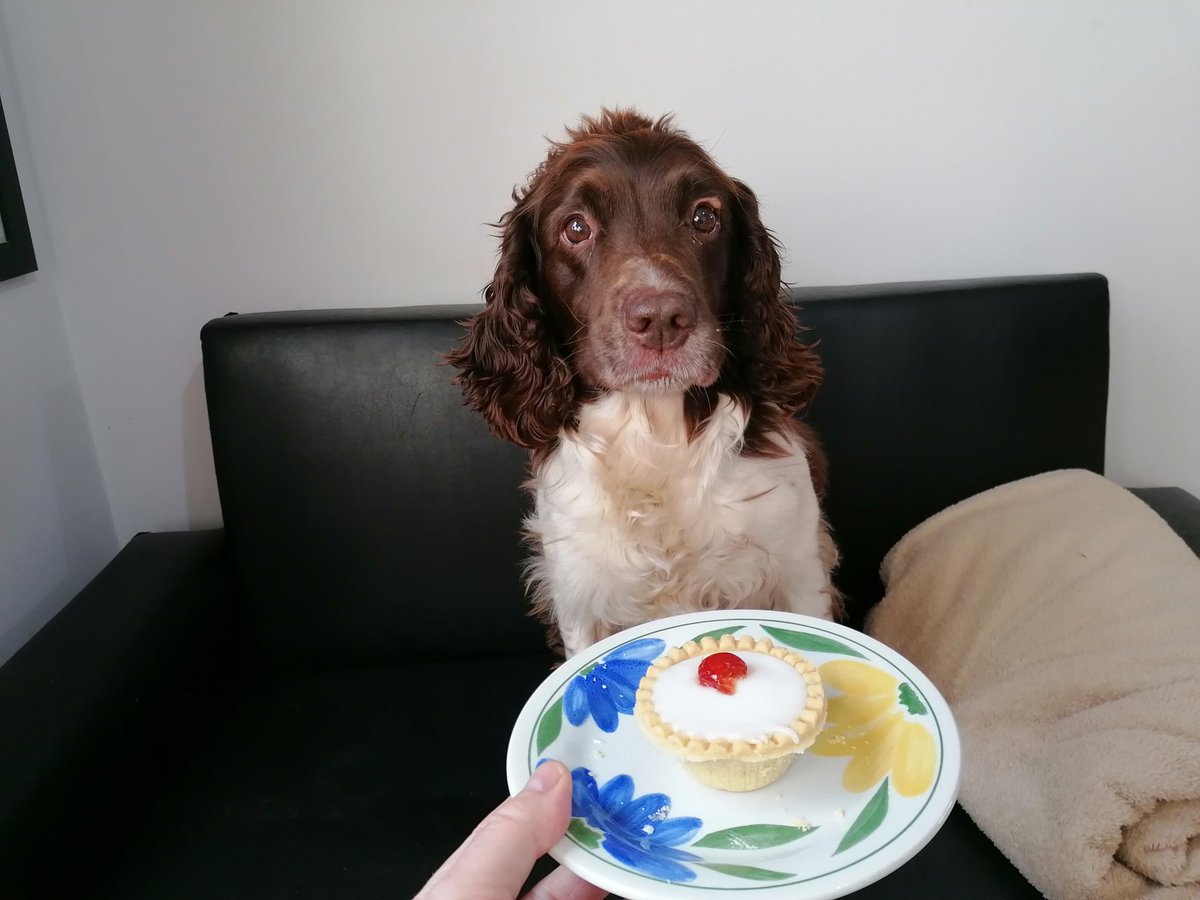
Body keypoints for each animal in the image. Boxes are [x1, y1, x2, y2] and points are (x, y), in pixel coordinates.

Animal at [446, 112, 840, 657]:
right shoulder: (580, 595)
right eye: (575, 228)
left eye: (704, 217)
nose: (660, 319)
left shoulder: (800, 571)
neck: (653, 433)